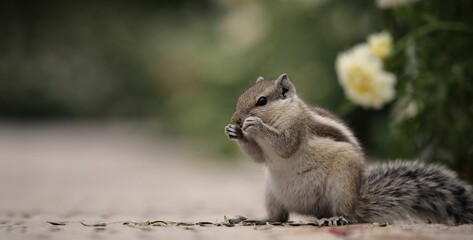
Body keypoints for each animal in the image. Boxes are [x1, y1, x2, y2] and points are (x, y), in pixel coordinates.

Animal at [224, 73, 472, 225]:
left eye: (262, 101)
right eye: (241, 97)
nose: (235, 119)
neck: (283, 112)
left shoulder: (296, 126)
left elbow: (285, 146)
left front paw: (255, 125)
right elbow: (258, 157)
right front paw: (234, 131)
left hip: (342, 185)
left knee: (344, 216)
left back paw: (333, 219)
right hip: (272, 193)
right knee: (279, 217)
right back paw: (256, 219)